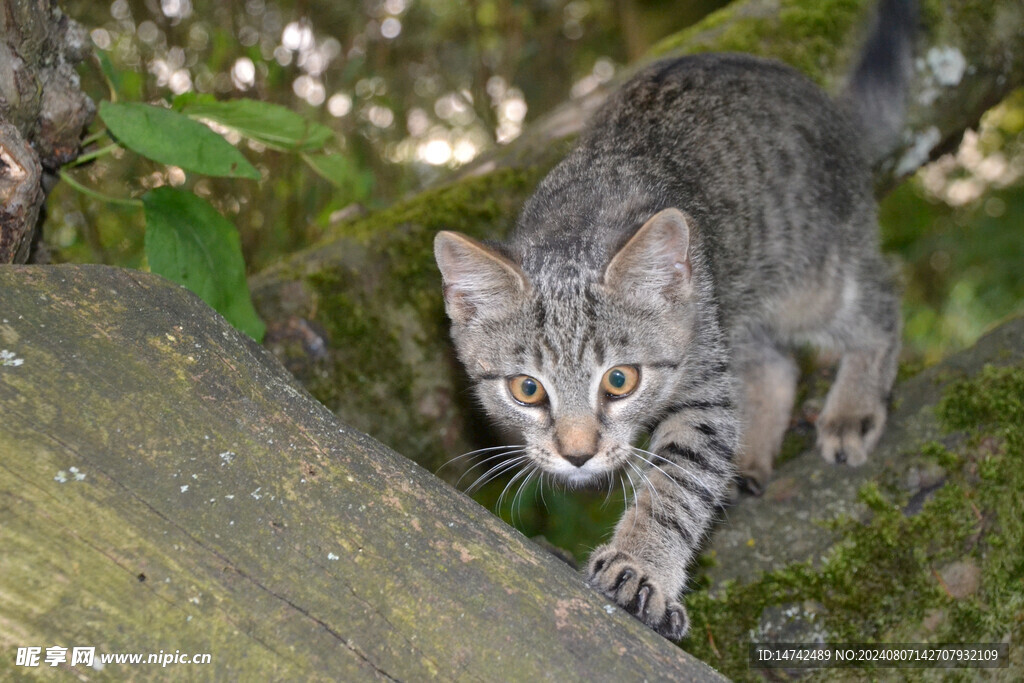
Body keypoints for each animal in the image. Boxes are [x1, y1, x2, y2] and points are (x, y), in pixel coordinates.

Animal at [432, 0, 913, 643]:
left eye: (620, 380)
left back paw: (853, 407)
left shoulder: (702, 380)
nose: (578, 456)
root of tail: (822, 102)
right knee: (776, 362)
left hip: (807, 278)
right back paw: (752, 458)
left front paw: (639, 566)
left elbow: (677, 479)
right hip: (737, 301)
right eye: (527, 389)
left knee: (881, 299)